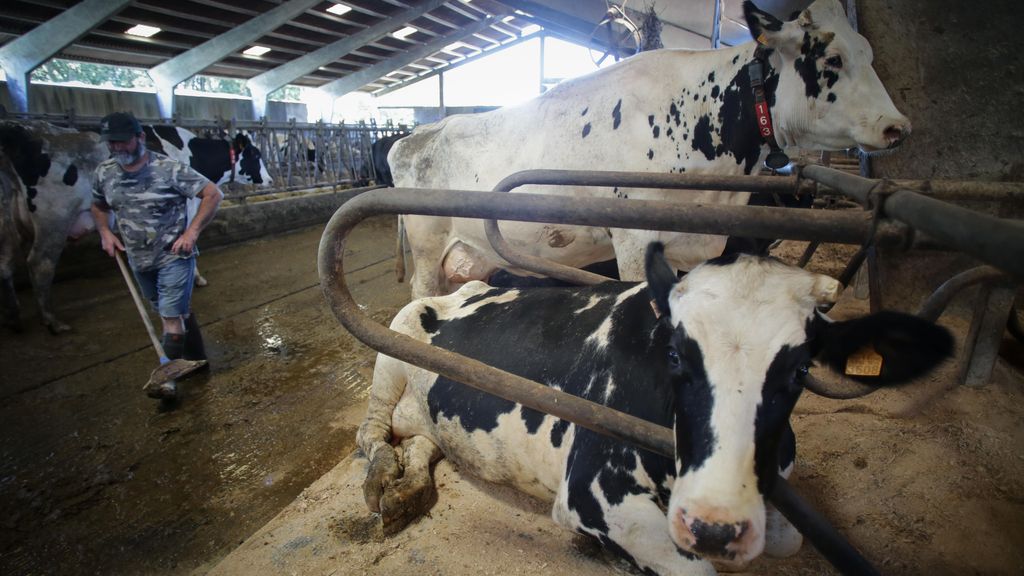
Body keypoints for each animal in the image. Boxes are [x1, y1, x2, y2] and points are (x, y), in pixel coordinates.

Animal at [0, 120, 109, 332]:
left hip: (8, 221)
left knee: (5, 263)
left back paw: (13, 318)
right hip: (55, 218)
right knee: (40, 263)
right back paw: (52, 321)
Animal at [358, 239, 950, 569]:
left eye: (801, 368)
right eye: (674, 354)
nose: (715, 525)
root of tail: (466, 287)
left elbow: (790, 539)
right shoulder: (594, 490)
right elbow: (695, 567)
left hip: (433, 415)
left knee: (422, 442)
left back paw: (408, 490)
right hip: (393, 346)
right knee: (372, 431)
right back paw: (382, 477)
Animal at [391, 0, 913, 295]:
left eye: (868, 54)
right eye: (833, 59)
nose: (897, 127)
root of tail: (416, 135)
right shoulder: (633, 241)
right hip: (427, 245)